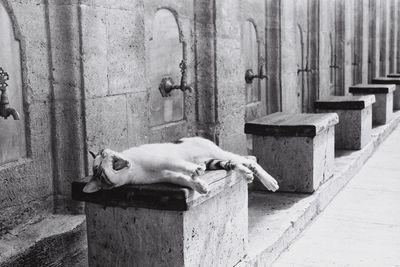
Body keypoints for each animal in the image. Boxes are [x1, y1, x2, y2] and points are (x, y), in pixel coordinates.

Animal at [83, 137, 278, 196]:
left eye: (102, 154)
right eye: (99, 171)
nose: (105, 152)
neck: (133, 169)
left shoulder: (161, 160)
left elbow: (178, 164)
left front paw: (195, 172)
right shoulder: (165, 175)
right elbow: (182, 178)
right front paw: (200, 185)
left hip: (217, 152)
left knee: (250, 161)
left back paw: (270, 182)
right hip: (213, 161)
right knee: (235, 164)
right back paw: (246, 174)